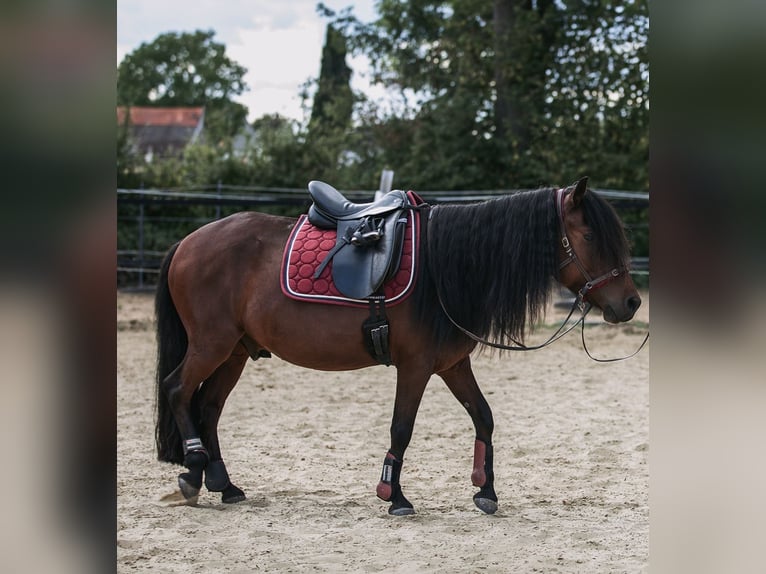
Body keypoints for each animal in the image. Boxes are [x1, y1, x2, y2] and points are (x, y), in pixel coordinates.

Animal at [154, 176, 642, 515]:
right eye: (592, 236)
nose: (632, 303)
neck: (442, 267)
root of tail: (188, 242)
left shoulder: (452, 365)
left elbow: (484, 418)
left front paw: (485, 490)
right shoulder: (416, 365)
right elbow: (401, 429)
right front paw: (395, 495)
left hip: (234, 351)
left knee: (208, 406)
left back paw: (223, 483)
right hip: (211, 345)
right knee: (178, 389)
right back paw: (193, 472)